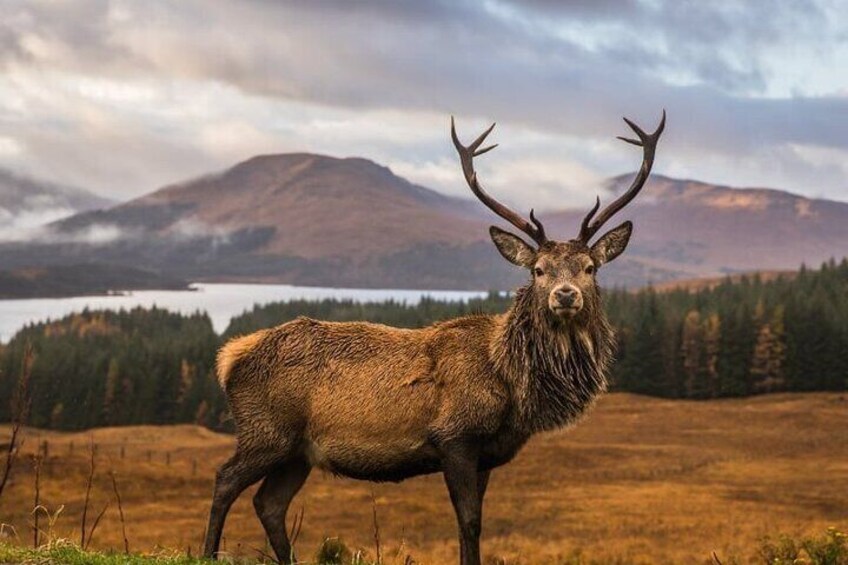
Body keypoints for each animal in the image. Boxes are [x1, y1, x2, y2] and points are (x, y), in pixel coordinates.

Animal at [202, 110, 664, 564]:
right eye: (538, 270)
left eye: (590, 268)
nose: (565, 295)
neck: (511, 384)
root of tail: (230, 357)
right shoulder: (454, 436)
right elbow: (470, 522)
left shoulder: (486, 454)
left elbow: (472, 527)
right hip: (266, 430)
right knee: (225, 479)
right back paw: (208, 552)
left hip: (297, 452)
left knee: (269, 504)